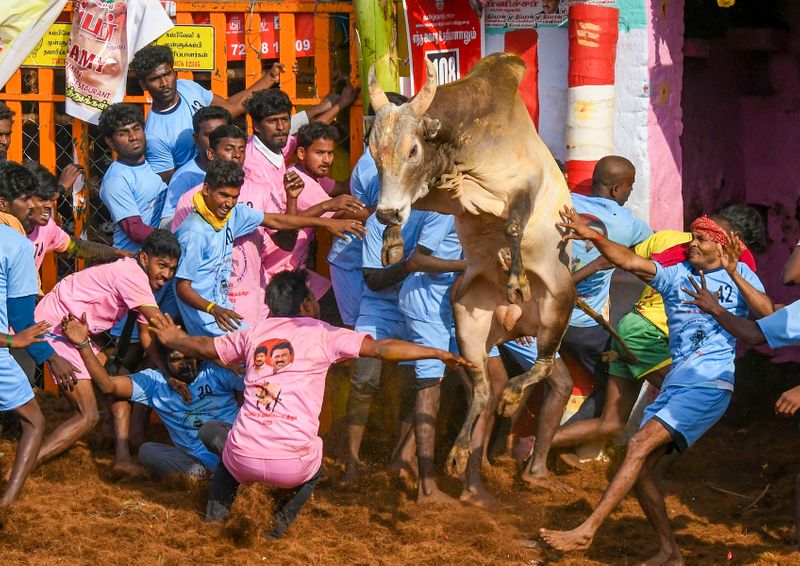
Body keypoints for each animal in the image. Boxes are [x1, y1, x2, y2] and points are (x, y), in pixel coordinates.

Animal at [368, 53, 576, 478]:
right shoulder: (442, 197)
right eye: (374, 153)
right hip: (467, 317)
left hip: (558, 307)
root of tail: (517, 324)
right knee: (481, 391)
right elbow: (409, 207)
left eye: (413, 150)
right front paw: (392, 240)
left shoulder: (523, 186)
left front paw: (516, 280)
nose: (387, 212)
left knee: (544, 366)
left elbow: (512, 226)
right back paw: (460, 451)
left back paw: (511, 396)